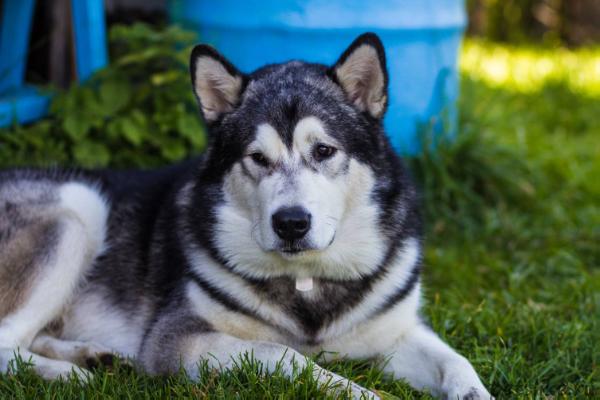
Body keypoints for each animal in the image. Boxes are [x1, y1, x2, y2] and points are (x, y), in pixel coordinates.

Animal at [0, 32, 492, 398]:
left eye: (324, 151)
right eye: (257, 158)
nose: (291, 223)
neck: (307, 285)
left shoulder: (398, 333)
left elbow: (457, 363)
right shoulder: (174, 341)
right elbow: (283, 353)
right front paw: (359, 391)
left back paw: (89, 355)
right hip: (79, 210)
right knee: (7, 345)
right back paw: (64, 374)